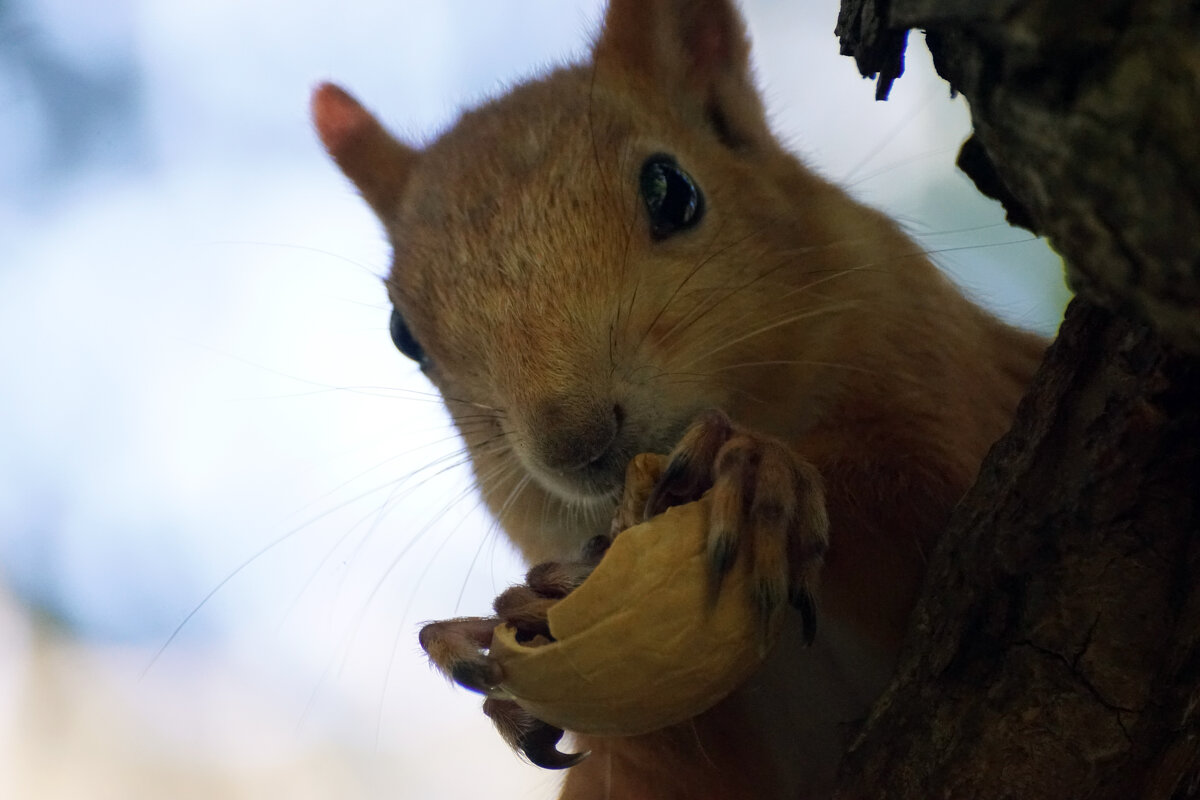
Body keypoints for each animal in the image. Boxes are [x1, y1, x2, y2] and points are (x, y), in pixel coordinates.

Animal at [312, 1, 1051, 800]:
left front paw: (760, 474)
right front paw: (493, 631)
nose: (576, 442)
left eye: (673, 191)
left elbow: (929, 500)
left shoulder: (953, 379)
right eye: (401, 333)